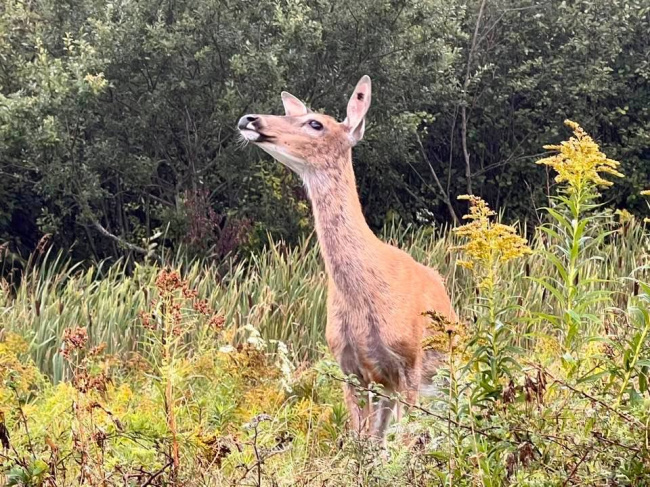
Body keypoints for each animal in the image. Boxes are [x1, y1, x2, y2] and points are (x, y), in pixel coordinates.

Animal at [235, 75, 454, 442]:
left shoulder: (409, 361)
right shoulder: (350, 366)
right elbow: (362, 441)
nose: (249, 119)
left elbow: (404, 442)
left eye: (315, 123)